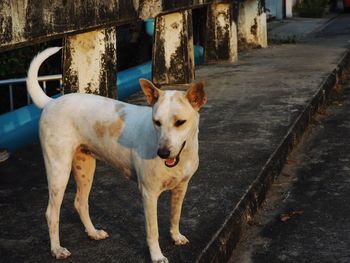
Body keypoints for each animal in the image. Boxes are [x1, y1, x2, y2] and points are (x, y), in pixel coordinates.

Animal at [27, 48, 208, 263]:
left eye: (180, 122)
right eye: (156, 122)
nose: (162, 153)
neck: (181, 155)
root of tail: (52, 102)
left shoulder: (181, 187)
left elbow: (175, 215)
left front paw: (176, 236)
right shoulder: (149, 194)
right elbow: (153, 231)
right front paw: (157, 256)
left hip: (85, 168)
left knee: (80, 202)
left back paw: (93, 233)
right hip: (58, 170)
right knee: (51, 213)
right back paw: (57, 249)